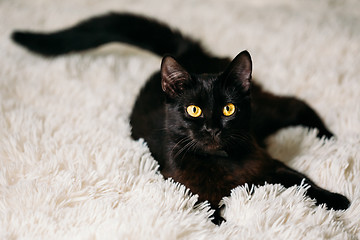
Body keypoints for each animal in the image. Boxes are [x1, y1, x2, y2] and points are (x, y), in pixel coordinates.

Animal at [12, 12, 350, 223]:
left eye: (228, 109)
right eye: (194, 110)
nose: (212, 128)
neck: (220, 162)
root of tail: (189, 54)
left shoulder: (267, 164)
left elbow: (302, 180)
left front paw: (336, 200)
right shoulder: (187, 189)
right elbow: (211, 214)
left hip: (264, 116)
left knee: (298, 105)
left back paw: (329, 136)